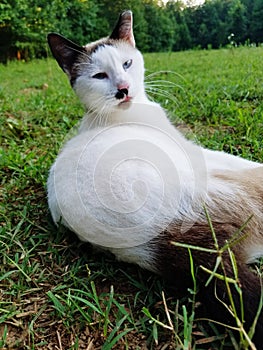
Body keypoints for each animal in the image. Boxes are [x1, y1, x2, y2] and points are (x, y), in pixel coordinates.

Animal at [47, 10, 263, 348]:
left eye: (126, 64)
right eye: (99, 76)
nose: (123, 89)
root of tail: (158, 234)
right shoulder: (194, 152)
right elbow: (234, 158)